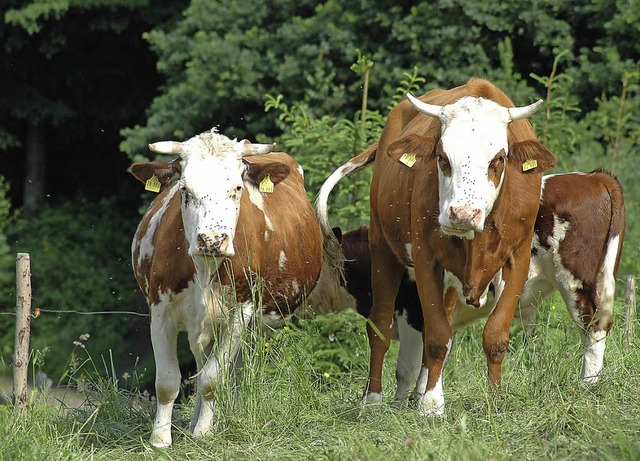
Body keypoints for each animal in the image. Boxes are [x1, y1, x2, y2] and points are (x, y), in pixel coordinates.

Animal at [130, 128, 322, 446]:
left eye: (237, 188)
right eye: (184, 190)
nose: (211, 239)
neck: (205, 268)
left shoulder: (239, 314)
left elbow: (212, 378)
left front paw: (204, 432)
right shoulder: (160, 309)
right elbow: (167, 382)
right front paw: (160, 439)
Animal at [318, 77, 556, 416]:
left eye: (499, 160)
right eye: (442, 158)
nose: (463, 214)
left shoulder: (518, 258)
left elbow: (495, 335)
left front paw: (494, 398)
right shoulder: (426, 260)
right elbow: (436, 337)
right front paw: (431, 404)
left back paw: (418, 390)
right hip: (382, 247)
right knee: (379, 326)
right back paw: (373, 398)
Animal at [330, 169, 624, 402]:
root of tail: (594, 177)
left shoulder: (414, 310)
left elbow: (412, 362)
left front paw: (407, 402)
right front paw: (418, 397)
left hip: (575, 279)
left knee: (593, 326)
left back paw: (587, 385)